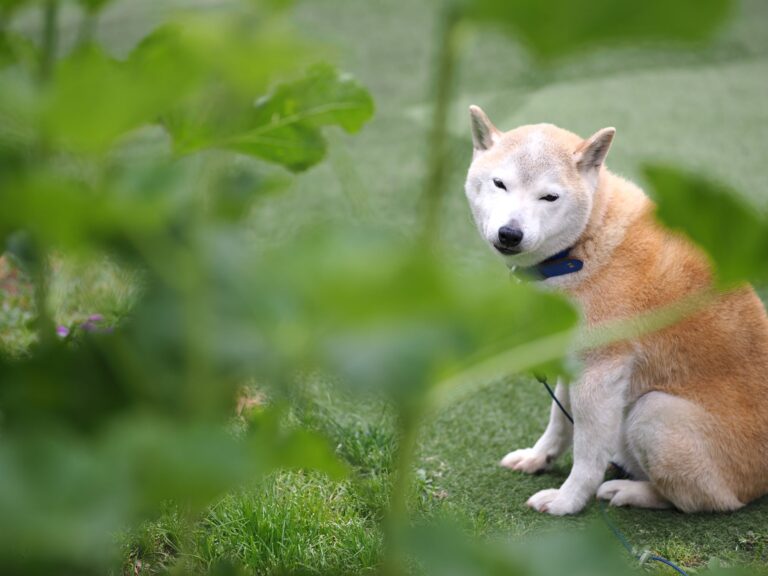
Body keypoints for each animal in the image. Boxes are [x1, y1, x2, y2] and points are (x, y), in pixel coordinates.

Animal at [464, 105, 768, 515]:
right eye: (499, 184)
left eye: (549, 197)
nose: (510, 234)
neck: (584, 244)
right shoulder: (571, 357)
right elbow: (560, 420)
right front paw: (540, 457)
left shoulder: (600, 373)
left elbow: (588, 453)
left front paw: (568, 500)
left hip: (653, 413)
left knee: (705, 501)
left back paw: (630, 491)